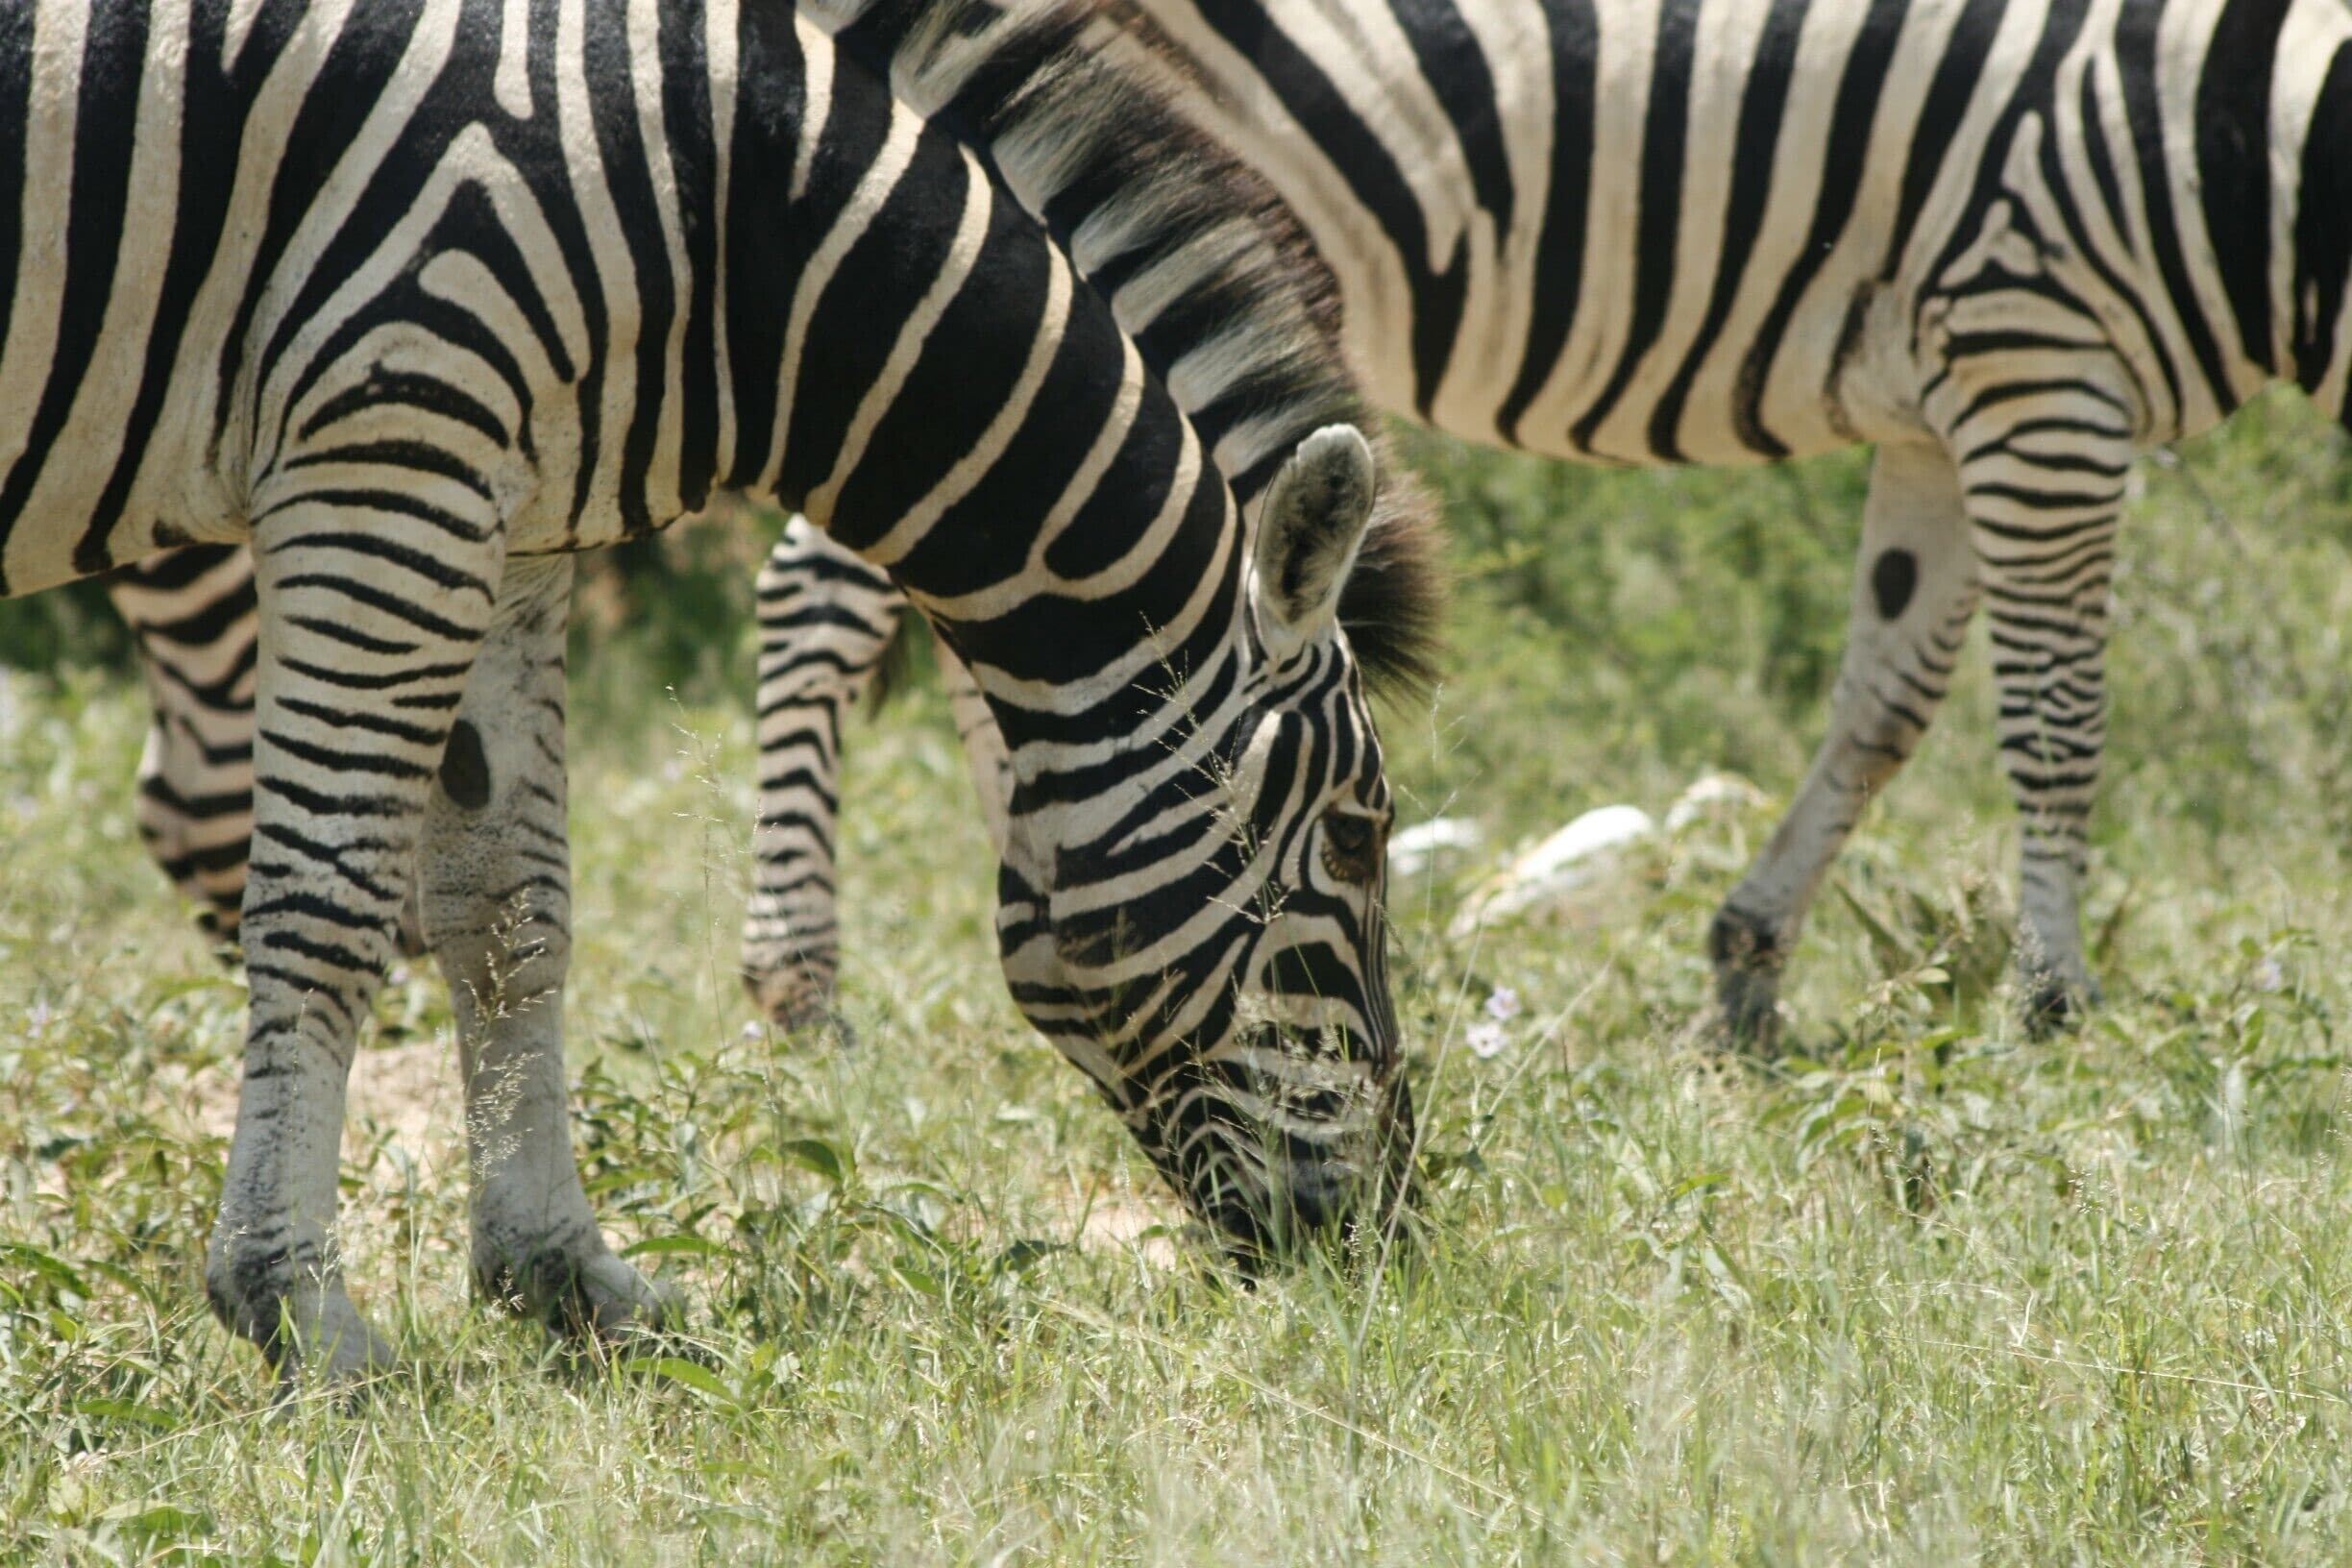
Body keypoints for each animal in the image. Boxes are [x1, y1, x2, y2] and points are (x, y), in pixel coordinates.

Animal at [6, 0, 1440, 1386]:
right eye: (1355, 842)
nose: (1390, 1246)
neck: (728, 210)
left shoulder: (510, 514)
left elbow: (511, 915)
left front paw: (560, 1275)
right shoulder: (389, 449)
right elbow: (328, 907)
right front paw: (297, 1309)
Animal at [736, 0, 2352, 1045]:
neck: (2245, 128)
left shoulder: (1938, 409)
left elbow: (1884, 702)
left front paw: (1750, 964)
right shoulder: (2041, 347)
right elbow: (2056, 716)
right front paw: (2055, 1003)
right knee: (830, 583)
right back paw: (801, 989)